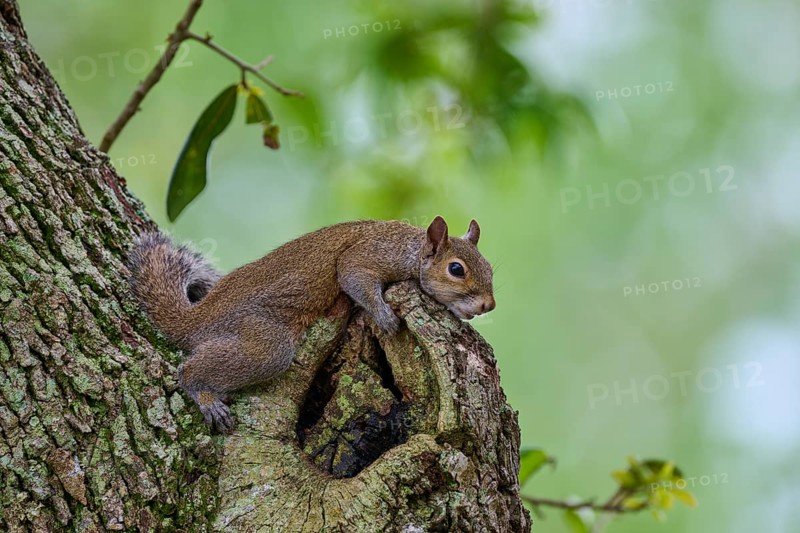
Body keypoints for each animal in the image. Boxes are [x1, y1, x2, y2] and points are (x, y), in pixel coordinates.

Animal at [128, 216, 495, 432]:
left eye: (490, 267)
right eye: (456, 269)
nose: (488, 305)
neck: (409, 247)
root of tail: (197, 318)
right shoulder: (367, 255)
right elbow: (354, 276)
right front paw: (383, 316)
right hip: (262, 341)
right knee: (192, 370)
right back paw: (203, 395)